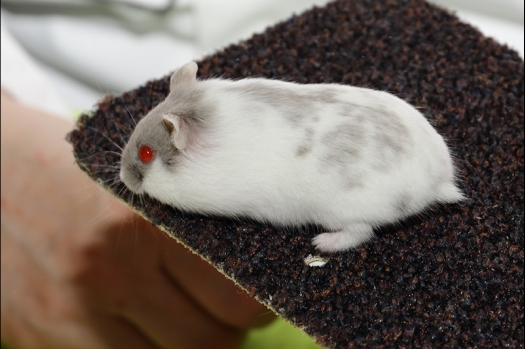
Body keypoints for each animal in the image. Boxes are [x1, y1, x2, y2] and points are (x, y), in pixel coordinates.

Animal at [118, 61, 462, 250]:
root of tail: (439, 181)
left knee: (360, 234)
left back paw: (320, 243)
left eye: (146, 153)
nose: (122, 177)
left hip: (344, 212)